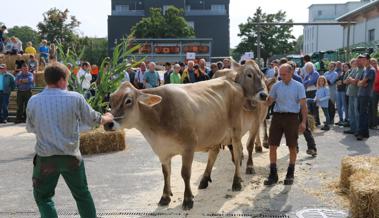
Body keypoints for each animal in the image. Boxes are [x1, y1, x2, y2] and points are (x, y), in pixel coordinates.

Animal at [104, 61, 268, 209]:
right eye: (111, 102)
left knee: (239, 151)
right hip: (215, 132)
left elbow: (185, 173)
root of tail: (230, 81)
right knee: (214, 153)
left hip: (235, 131)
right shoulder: (162, 151)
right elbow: (166, 173)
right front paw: (165, 196)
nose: (107, 123)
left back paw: (236, 181)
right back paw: (204, 180)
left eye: (128, 101)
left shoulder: (188, 148)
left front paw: (188, 199)